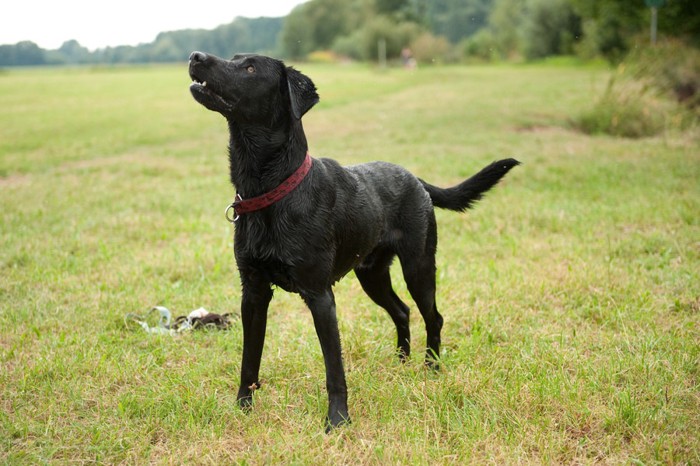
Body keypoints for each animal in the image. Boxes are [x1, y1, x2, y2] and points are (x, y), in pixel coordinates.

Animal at [189, 51, 516, 430]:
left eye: (250, 67)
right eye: (235, 58)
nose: (196, 56)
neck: (274, 190)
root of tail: (415, 179)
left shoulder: (320, 296)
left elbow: (334, 368)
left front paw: (337, 420)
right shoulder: (253, 293)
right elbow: (249, 359)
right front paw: (243, 408)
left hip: (419, 267)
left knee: (433, 317)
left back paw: (431, 368)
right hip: (371, 274)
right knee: (401, 311)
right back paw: (401, 362)